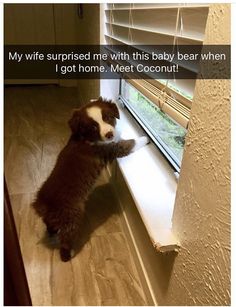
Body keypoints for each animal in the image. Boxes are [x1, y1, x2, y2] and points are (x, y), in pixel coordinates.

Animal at [32, 97, 148, 262]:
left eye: (107, 117)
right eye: (93, 127)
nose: (109, 134)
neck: (85, 138)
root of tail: (43, 204)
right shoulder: (110, 149)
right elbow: (128, 143)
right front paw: (145, 138)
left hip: (53, 219)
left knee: (50, 225)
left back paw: (51, 232)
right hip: (71, 219)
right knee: (65, 242)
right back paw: (68, 254)